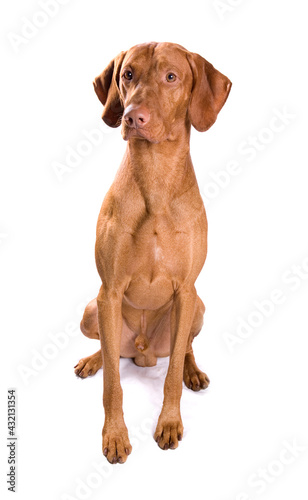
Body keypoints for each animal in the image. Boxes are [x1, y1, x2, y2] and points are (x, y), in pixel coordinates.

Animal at [74, 43, 231, 464]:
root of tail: (143, 352)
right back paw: (92, 360)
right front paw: (114, 435)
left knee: (185, 348)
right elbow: (113, 381)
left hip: (198, 308)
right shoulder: (109, 292)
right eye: (128, 74)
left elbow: (172, 372)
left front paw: (170, 422)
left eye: (171, 77)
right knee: (109, 350)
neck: (156, 180)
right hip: (91, 312)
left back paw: (194, 371)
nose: (132, 117)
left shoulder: (186, 291)